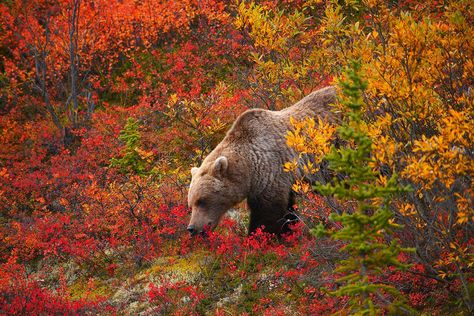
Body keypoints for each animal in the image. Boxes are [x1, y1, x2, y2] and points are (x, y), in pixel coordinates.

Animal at [186, 85, 336, 236]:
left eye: (202, 200)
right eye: (190, 203)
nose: (192, 228)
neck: (248, 166)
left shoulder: (271, 173)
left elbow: (267, 216)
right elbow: (288, 211)